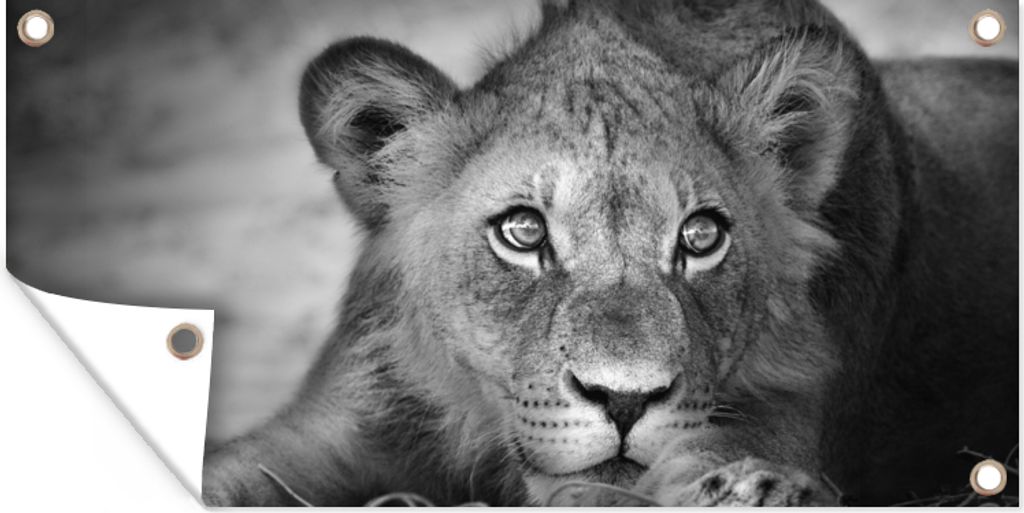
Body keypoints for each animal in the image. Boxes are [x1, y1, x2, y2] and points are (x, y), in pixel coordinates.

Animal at [202, 0, 1018, 506]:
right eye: (523, 231)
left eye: (701, 236)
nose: (624, 400)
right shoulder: (347, 419)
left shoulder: (783, 409)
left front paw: (752, 491)